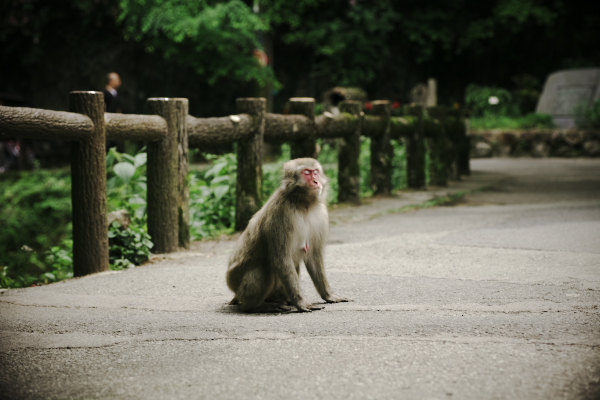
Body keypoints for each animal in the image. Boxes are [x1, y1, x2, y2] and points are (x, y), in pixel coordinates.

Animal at [229, 157, 352, 312]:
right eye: (307, 173)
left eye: (316, 172)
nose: (316, 181)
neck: (303, 204)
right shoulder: (281, 213)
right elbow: (282, 259)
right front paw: (301, 302)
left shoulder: (321, 214)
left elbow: (313, 256)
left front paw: (329, 295)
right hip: (237, 284)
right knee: (263, 269)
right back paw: (257, 306)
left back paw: (282, 300)